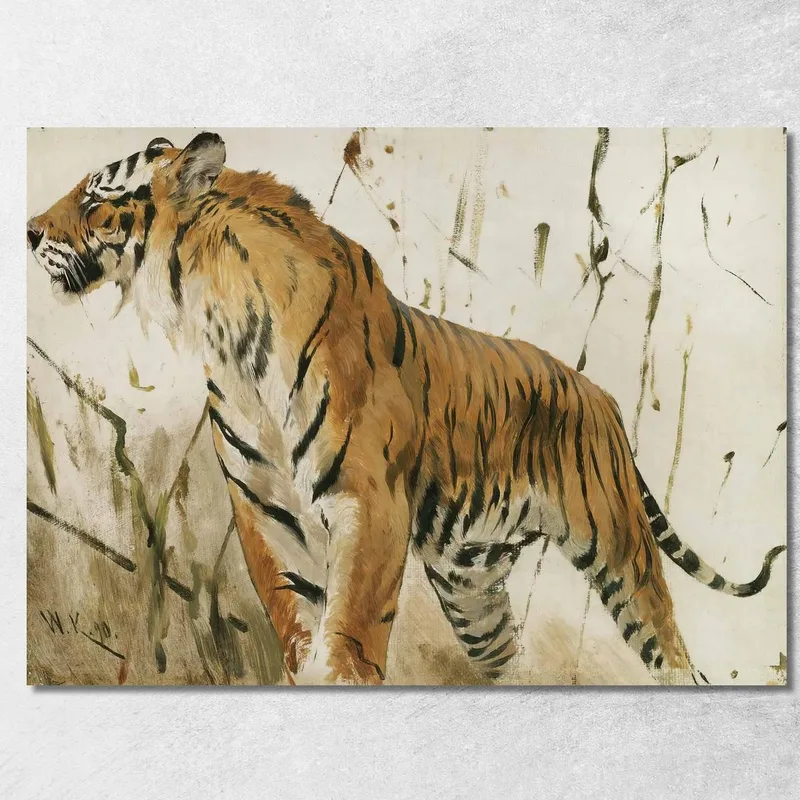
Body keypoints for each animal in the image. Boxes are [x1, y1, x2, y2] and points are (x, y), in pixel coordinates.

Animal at [27, 131, 785, 685]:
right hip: (471, 583)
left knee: (675, 656)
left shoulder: (369, 503)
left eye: (95, 197)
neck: (225, 332)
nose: (30, 230)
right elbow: (297, 622)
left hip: (619, 549)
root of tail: (601, 398)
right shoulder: (264, 508)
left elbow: (350, 631)